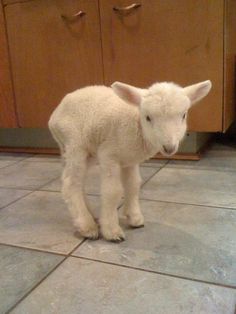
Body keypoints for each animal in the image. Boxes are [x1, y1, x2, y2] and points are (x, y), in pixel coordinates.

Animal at [48, 79, 212, 242]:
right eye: (148, 117)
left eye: (183, 115)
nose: (169, 148)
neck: (136, 123)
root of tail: (55, 114)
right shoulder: (109, 155)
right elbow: (112, 191)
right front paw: (111, 230)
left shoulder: (130, 160)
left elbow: (133, 185)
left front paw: (134, 217)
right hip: (75, 145)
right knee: (70, 183)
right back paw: (86, 225)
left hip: (84, 151)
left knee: (76, 181)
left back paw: (90, 216)